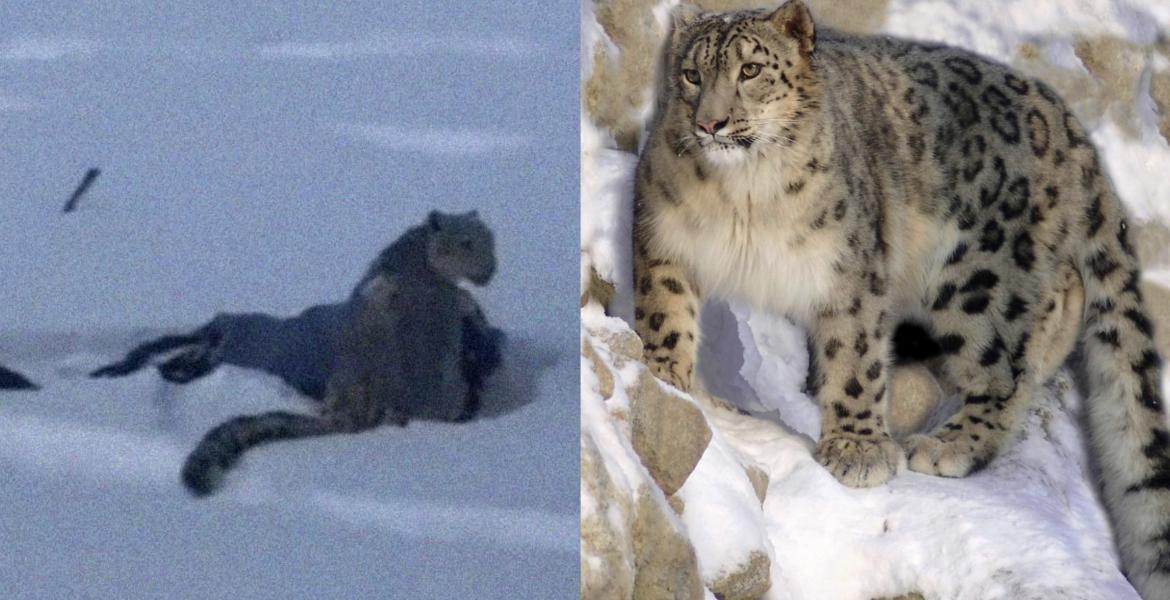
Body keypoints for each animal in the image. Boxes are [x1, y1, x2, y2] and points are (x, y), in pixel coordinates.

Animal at [630, 2, 1170, 596]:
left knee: (1010, 356)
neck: (742, 197)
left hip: (979, 277)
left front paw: (857, 450)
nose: (710, 123)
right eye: (691, 74)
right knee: (1062, 298)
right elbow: (665, 311)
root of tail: (1067, 123)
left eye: (750, 70)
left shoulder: (851, 268)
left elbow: (855, 358)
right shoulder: (664, 236)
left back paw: (950, 445)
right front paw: (667, 378)